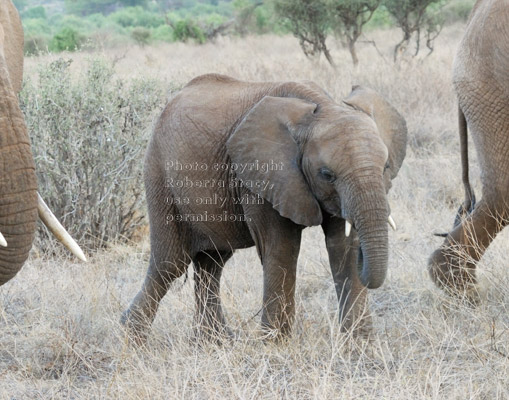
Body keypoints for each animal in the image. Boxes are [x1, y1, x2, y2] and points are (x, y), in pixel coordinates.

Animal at [121, 73, 406, 342]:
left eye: (386, 167)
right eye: (327, 174)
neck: (323, 106)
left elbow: (342, 248)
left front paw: (361, 348)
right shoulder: (261, 177)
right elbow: (281, 249)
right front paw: (275, 345)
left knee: (212, 262)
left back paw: (216, 342)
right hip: (159, 173)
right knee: (170, 264)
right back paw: (132, 337)